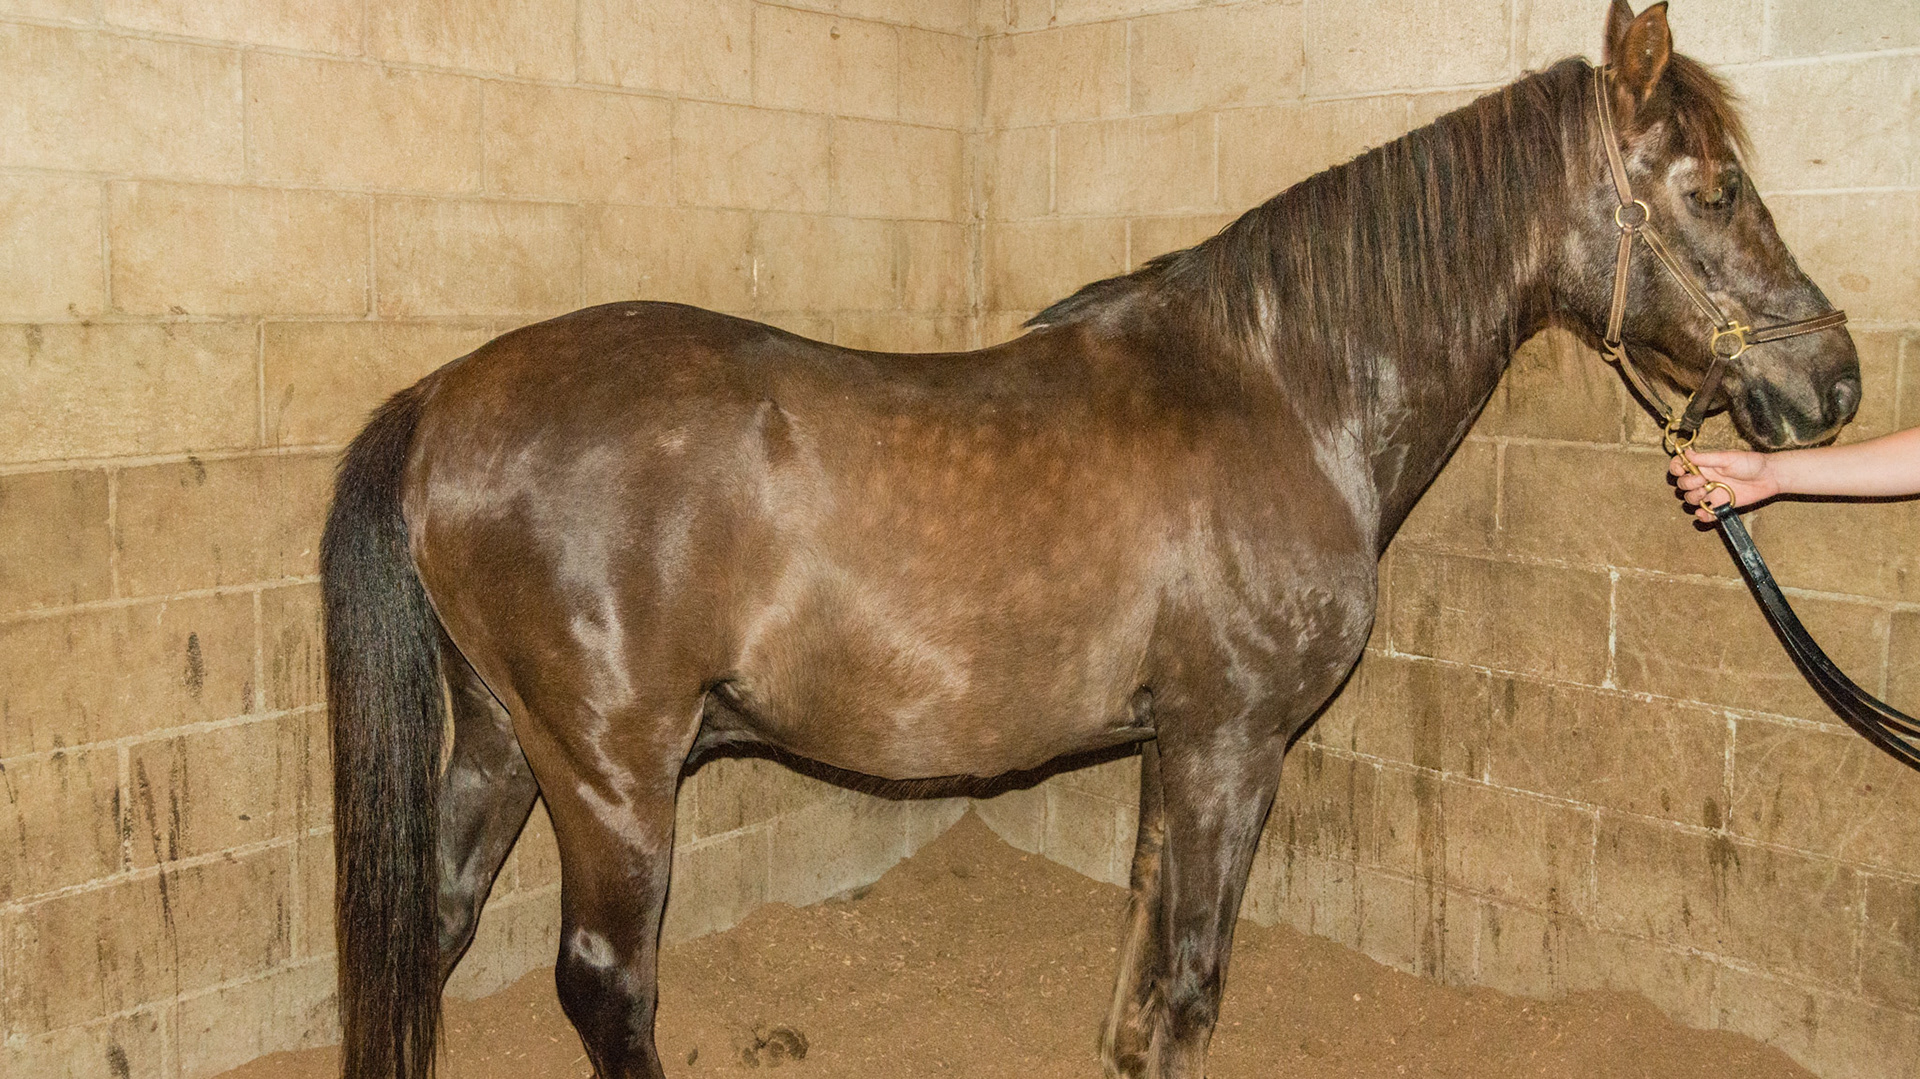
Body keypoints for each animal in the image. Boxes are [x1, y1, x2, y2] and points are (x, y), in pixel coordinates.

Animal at [321, 4, 1860, 1077]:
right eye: (1714, 188)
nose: (1834, 380)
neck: (1282, 392)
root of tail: (447, 397)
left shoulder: (1174, 744)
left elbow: (1138, 959)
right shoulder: (1237, 743)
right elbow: (1192, 981)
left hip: (501, 742)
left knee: (435, 928)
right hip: (611, 771)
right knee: (606, 982)